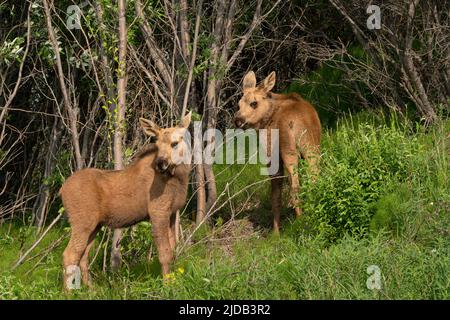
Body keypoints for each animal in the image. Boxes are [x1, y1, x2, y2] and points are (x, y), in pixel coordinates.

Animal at [59, 112, 192, 290]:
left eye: (175, 143)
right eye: (157, 144)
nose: (160, 163)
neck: (179, 179)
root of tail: (61, 190)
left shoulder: (172, 213)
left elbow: (173, 250)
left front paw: (174, 281)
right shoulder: (158, 211)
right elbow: (165, 253)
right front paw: (167, 285)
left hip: (94, 225)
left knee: (83, 256)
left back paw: (91, 290)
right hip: (82, 222)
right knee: (69, 254)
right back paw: (69, 292)